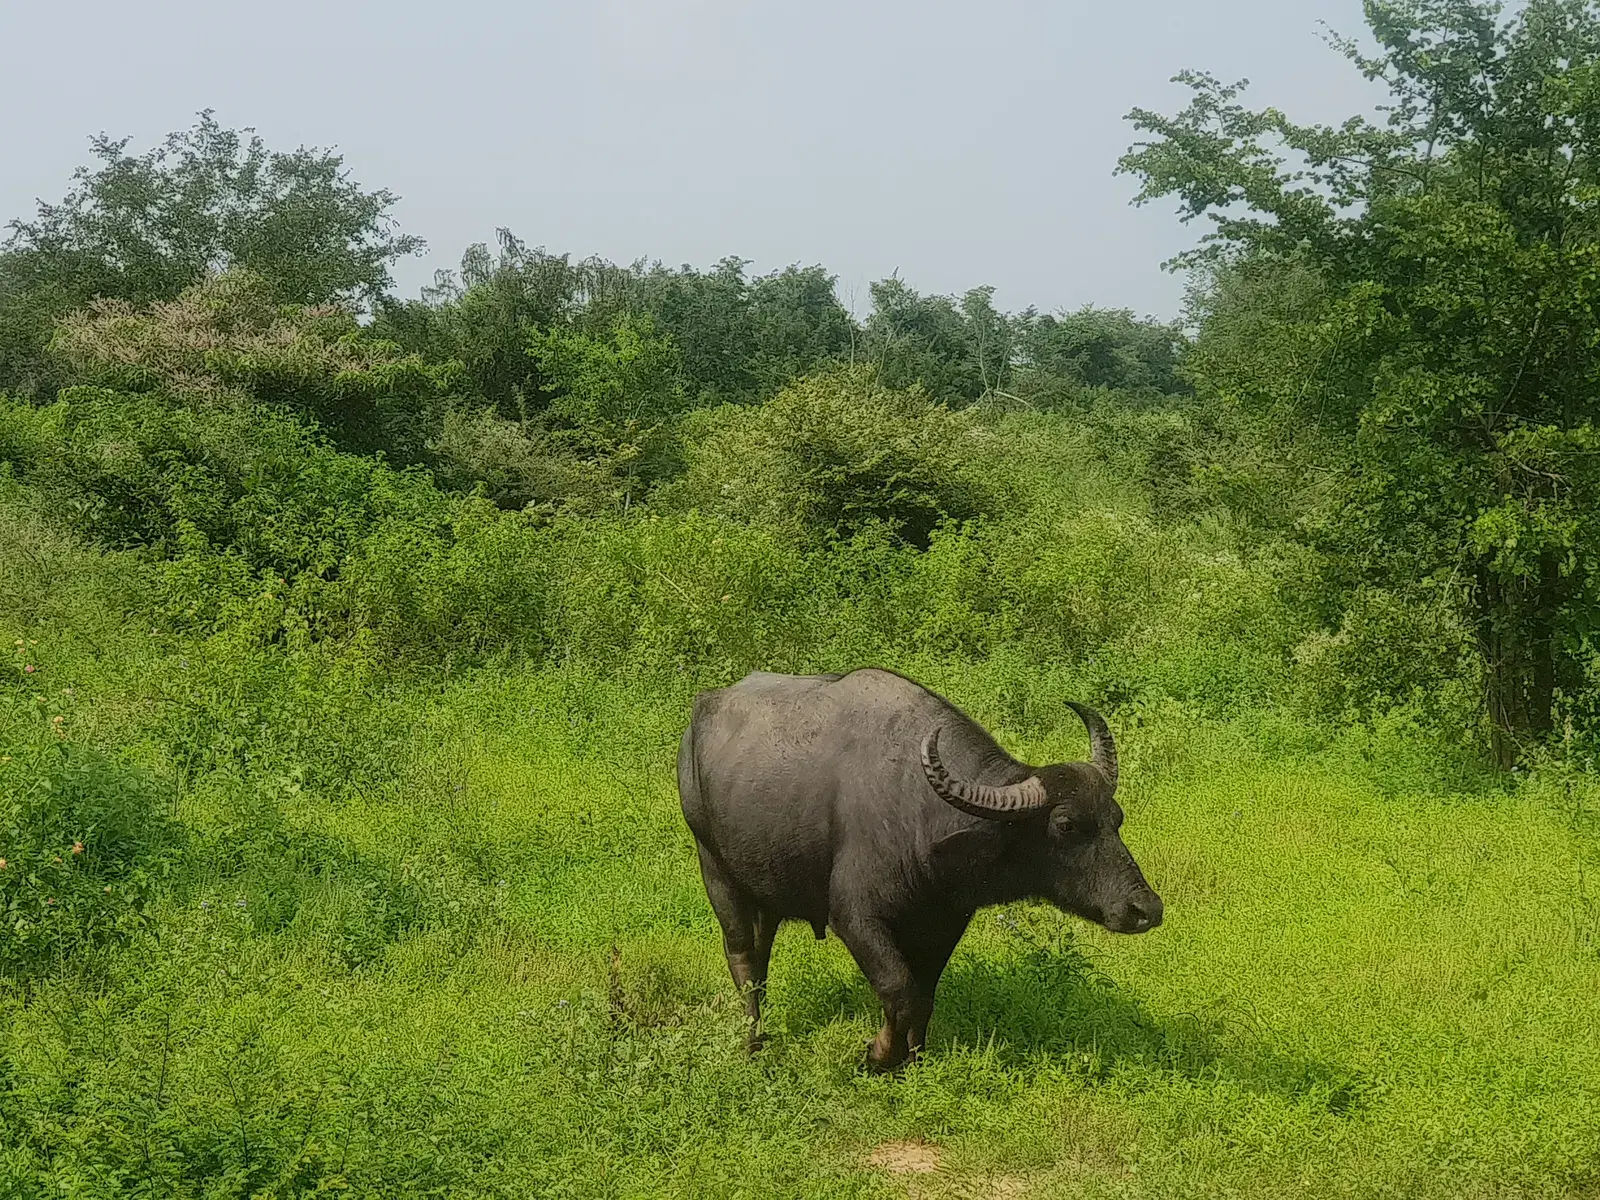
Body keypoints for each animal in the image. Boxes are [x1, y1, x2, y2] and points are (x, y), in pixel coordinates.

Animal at [677, 667, 1163, 1072]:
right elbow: (899, 989)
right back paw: (753, 1043)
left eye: (1116, 817)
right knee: (744, 962)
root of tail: (700, 713)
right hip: (716, 872)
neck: (922, 819)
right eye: (1065, 825)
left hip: (768, 893)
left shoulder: (943, 922)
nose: (1146, 909)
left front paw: (914, 1058)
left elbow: (924, 994)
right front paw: (877, 1055)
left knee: (761, 959)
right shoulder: (855, 919)